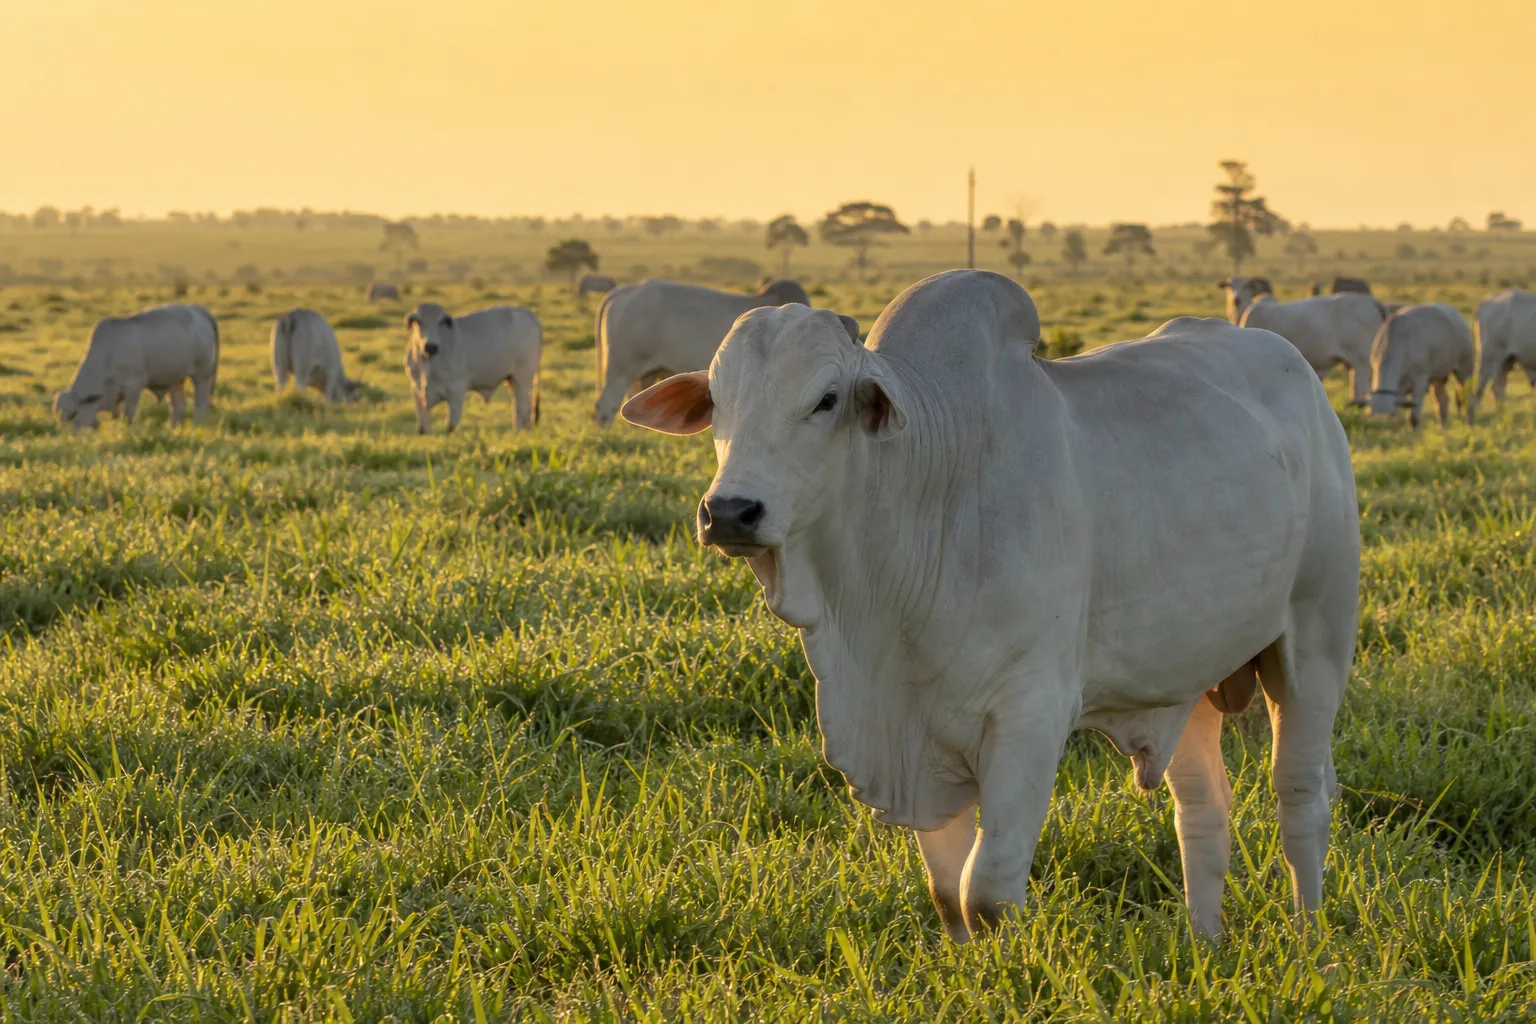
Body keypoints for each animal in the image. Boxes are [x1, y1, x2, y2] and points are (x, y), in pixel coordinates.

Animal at [53, 304, 219, 429]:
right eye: (61, 416)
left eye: (73, 414)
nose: (69, 438)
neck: (109, 353)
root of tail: (196, 309)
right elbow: (116, 414)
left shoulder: (133, 386)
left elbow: (129, 414)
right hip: (176, 379)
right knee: (177, 406)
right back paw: (173, 429)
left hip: (201, 376)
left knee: (201, 403)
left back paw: (196, 425)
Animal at [404, 303, 541, 433]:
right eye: (418, 321)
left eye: (441, 321)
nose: (431, 346)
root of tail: (526, 312)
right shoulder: (416, 391)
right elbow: (423, 429)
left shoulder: (457, 391)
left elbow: (450, 426)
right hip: (511, 379)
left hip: (522, 378)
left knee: (522, 408)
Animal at [621, 270, 1360, 943]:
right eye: (718, 400)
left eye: (826, 399)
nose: (729, 511)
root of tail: (1297, 370)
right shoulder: (917, 737)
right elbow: (949, 896)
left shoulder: (1031, 715)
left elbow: (989, 895)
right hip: (1189, 674)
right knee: (1204, 807)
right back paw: (1204, 943)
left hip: (1316, 640)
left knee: (1300, 796)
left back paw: (1309, 940)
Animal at [1473, 289, 1536, 417]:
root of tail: (1488, 300)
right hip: (1491, 356)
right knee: (1488, 386)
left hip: (1506, 361)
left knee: (1498, 386)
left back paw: (1504, 412)